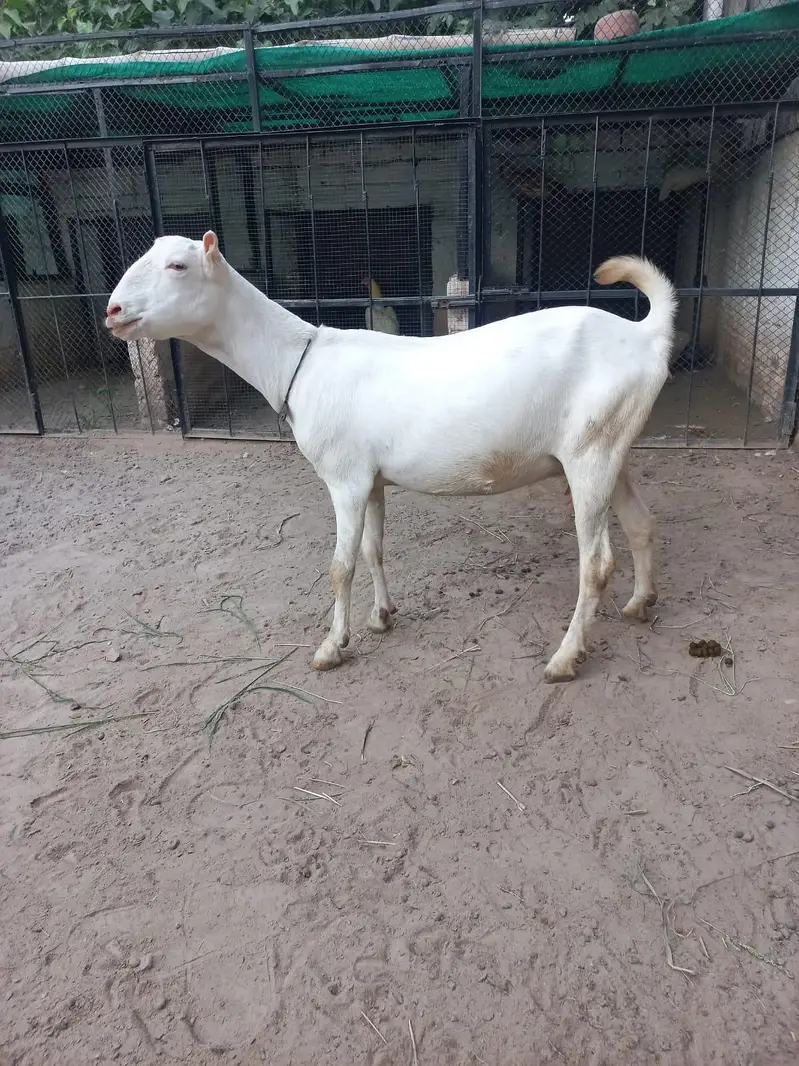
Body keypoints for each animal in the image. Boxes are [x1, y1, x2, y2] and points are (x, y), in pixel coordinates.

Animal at [106, 233, 676, 683]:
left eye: (178, 266)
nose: (113, 311)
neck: (298, 361)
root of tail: (646, 335)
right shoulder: (371, 479)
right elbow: (372, 550)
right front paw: (381, 617)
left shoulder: (344, 478)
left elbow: (340, 566)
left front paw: (331, 647)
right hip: (612, 446)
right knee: (642, 522)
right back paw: (640, 604)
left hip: (589, 451)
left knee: (596, 563)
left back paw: (563, 658)